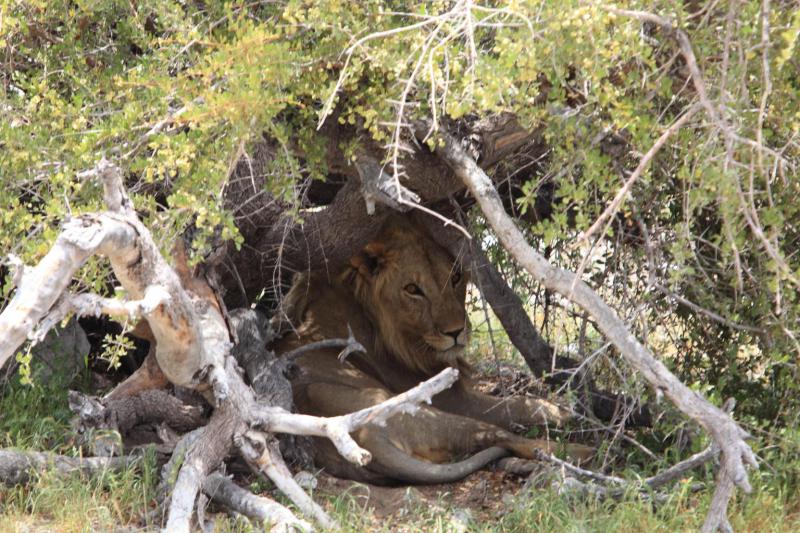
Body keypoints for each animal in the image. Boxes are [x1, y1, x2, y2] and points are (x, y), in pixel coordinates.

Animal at [272, 215, 592, 482]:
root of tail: (366, 438)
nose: (455, 332)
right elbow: (522, 404)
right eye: (413, 289)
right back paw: (577, 453)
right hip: (420, 409)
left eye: (456, 277)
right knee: (500, 437)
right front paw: (568, 411)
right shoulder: (453, 399)